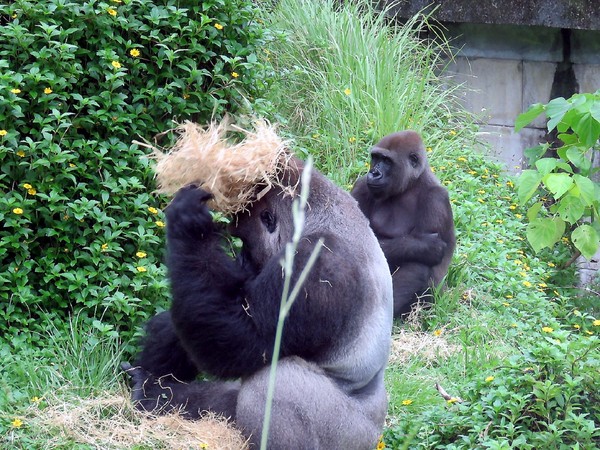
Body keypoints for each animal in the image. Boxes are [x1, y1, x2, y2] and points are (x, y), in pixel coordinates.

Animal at [122, 120, 394, 450]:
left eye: (245, 244)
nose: (243, 263)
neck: (319, 217)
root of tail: (378, 428)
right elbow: (211, 307)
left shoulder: (318, 264)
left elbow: (242, 338)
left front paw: (188, 224)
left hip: (349, 436)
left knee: (277, 383)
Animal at [352, 132, 454, 318]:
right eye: (376, 157)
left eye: (387, 161)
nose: (374, 173)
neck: (411, 184)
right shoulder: (362, 185)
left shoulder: (436, 199)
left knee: (419, 265)